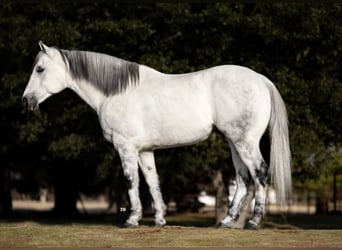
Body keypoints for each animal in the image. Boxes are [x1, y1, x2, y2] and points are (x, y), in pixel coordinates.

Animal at [22, 41, 292, 230]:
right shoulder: (145, 150)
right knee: (243, 179)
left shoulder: (126, 147)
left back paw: (253, 223)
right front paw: (160, 219)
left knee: (259, 173)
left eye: (40, 69)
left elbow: (131, 181)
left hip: (245, 142)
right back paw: (226, 222)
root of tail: (261, 80)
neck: (115, 92)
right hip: (234, 142)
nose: (26, 101)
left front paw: (131, 220)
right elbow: (153, 181)